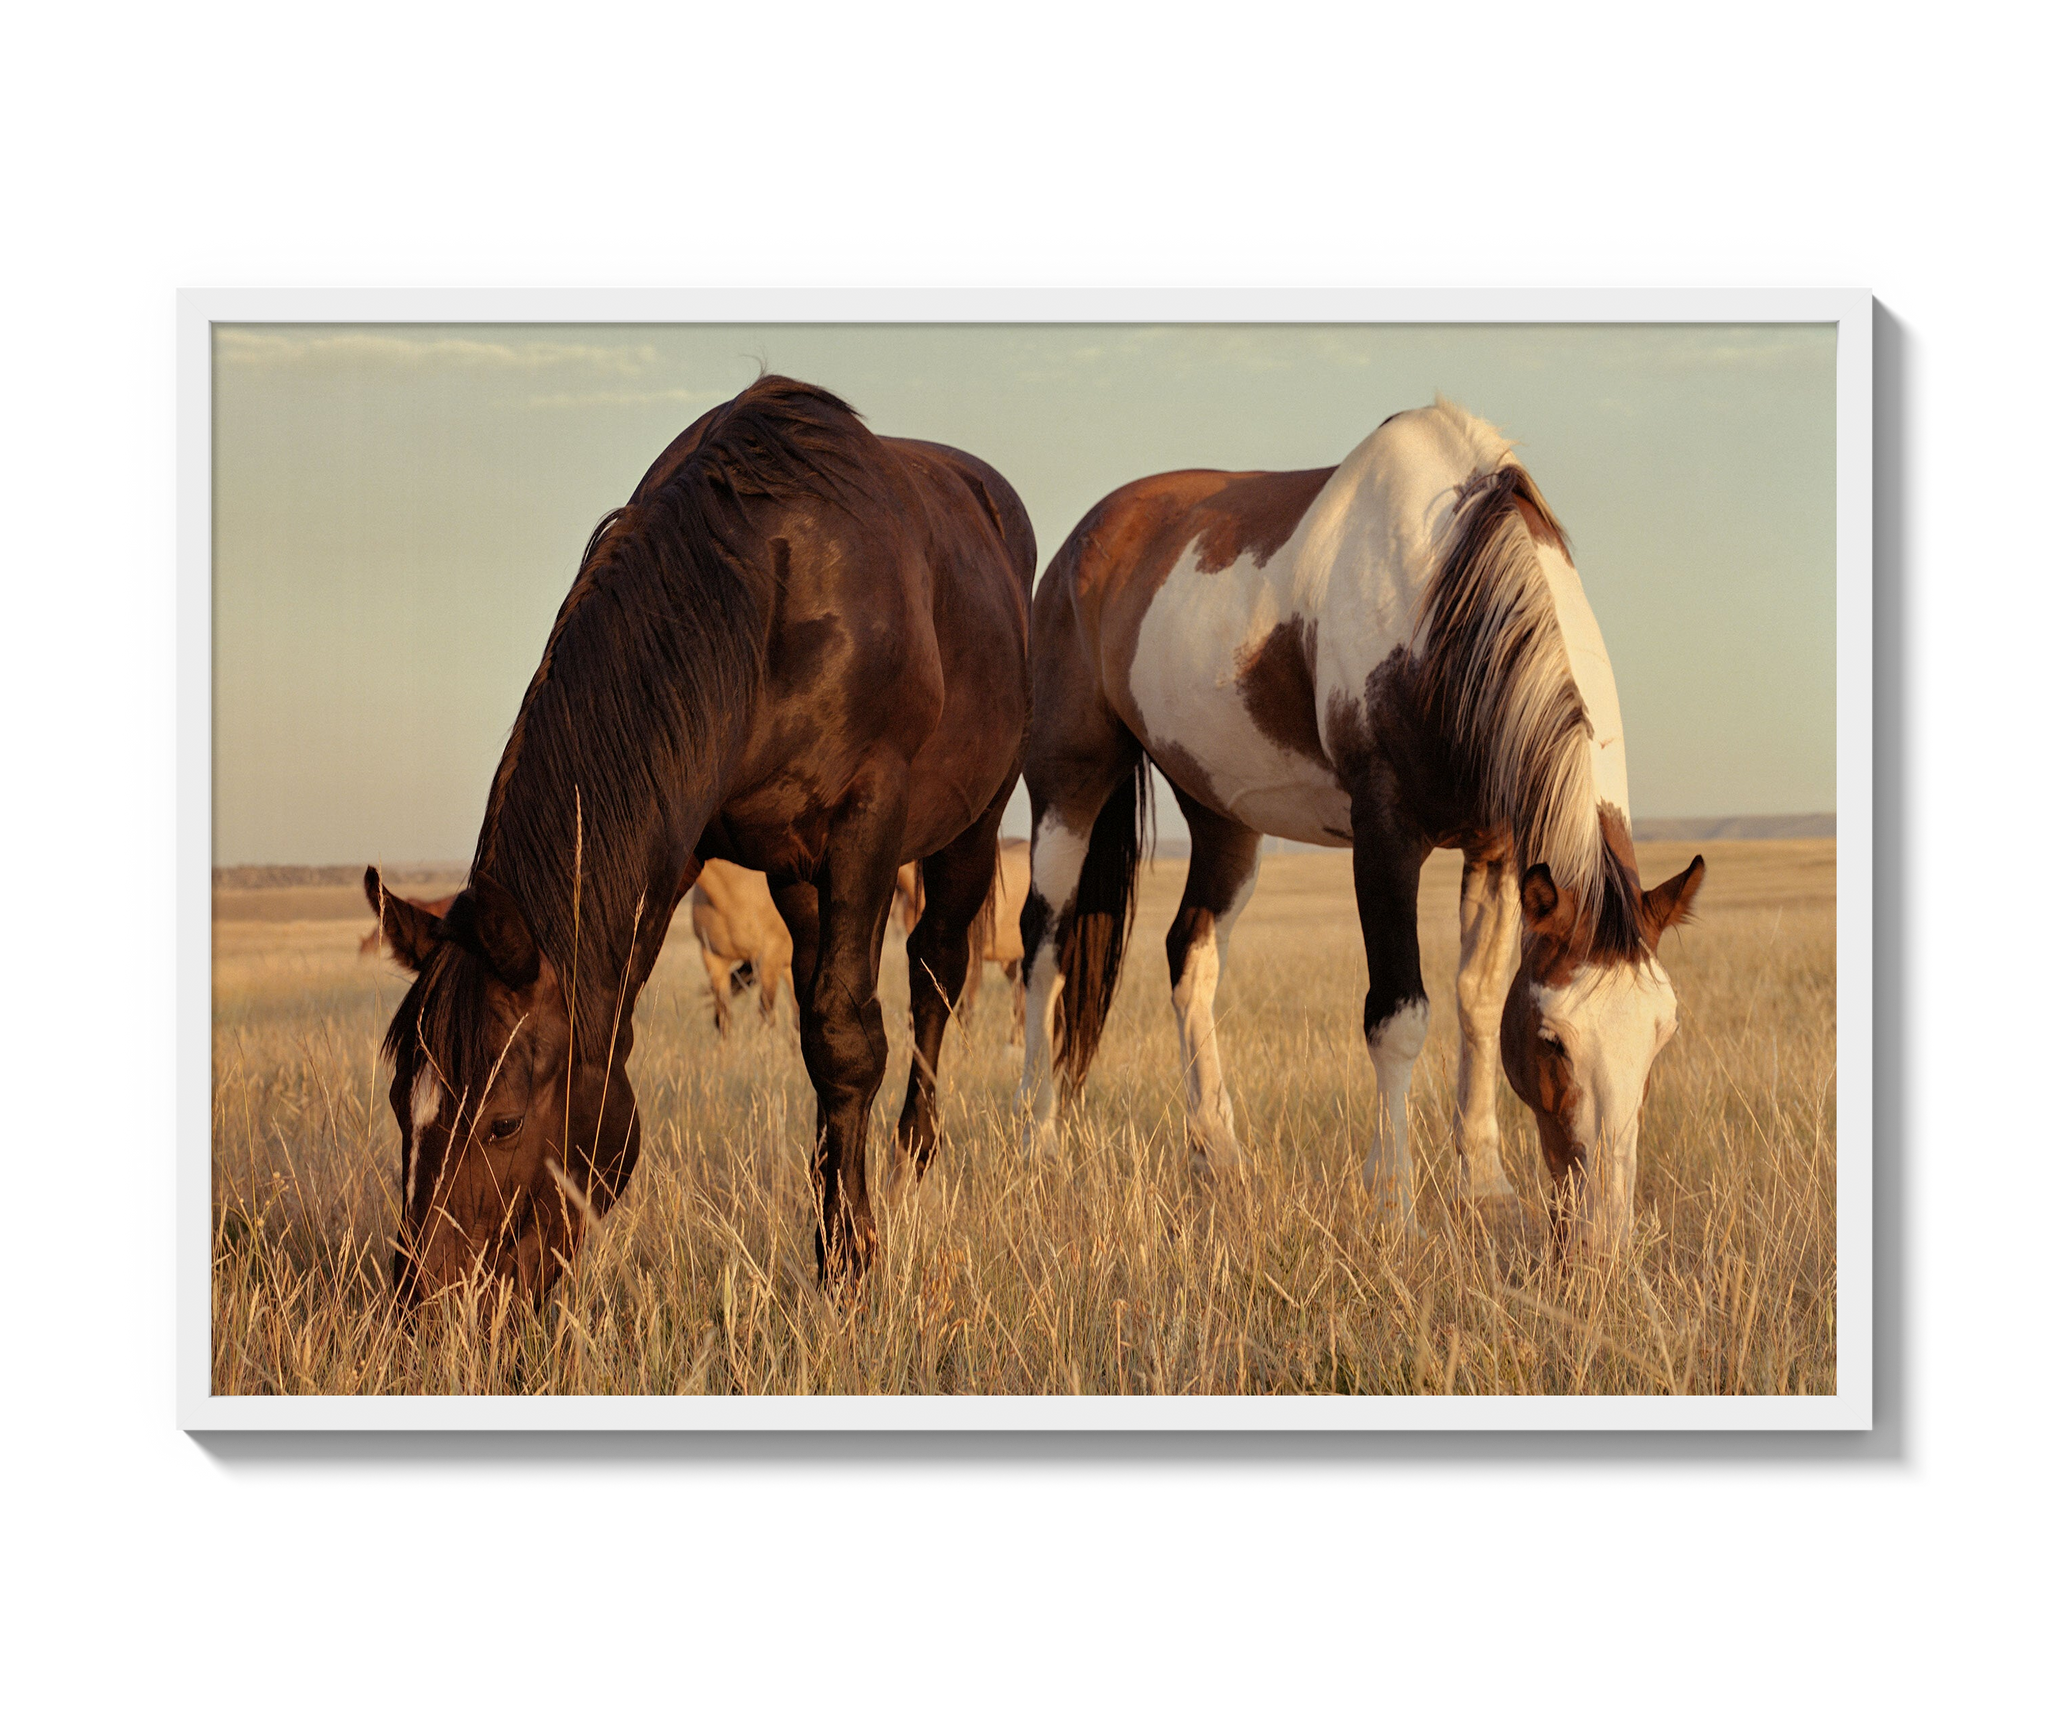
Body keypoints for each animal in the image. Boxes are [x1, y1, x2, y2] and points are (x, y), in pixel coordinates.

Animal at [1015, 403, 1703, 1261]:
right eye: (1552, 1040)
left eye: (1661, 1037)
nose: (1604, 1241)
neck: (1439, 593)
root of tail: (1082, 543)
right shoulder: (1385, 839)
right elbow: (1398, 1017)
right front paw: (1395, 1208)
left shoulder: (1498, 849)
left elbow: (1478, 1000)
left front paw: (1484, 1185)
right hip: (1068, 786)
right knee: (1043, 945)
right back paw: (1038, 1143)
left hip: (1223, 817)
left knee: (1190, 953)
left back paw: (1220, 1158)